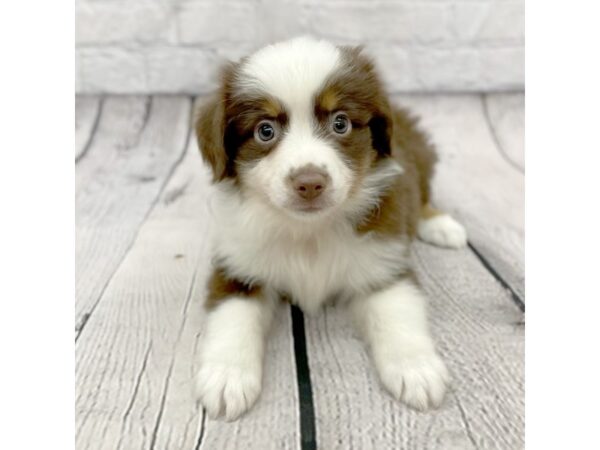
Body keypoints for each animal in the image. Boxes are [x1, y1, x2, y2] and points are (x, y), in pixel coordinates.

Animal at [195, 37, 466, 420]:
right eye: (265, 131)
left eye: (340, 123)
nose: (309, 183)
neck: (309, 231)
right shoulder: (237, 266)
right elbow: (231, 317)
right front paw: (226, 377)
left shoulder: (382, 264)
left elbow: (398, 313)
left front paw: (416, 369)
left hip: (422, 155)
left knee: (424, 197)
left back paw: (441, 225)